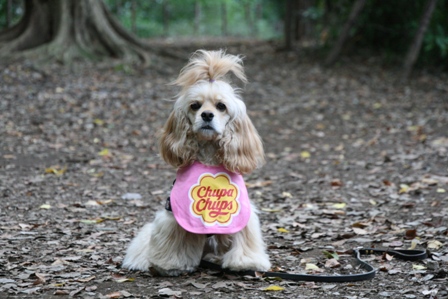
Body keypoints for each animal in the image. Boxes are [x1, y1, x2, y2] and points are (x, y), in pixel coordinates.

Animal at [121, 49, 272, 276]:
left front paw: (246, 262)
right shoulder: (173, 216)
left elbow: (244, 238)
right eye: (195, 106)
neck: (208, 158)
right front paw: (170, 264)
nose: (207, 115)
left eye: (221, 106)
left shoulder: (242, 214)